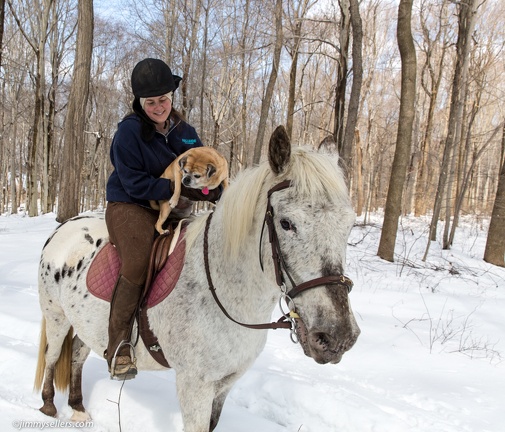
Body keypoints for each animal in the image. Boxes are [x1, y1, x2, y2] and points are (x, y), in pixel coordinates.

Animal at [34, 126, 358, 430]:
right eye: (286, 223)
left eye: (349, 224)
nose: (337, 336)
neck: (224, 290)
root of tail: (63, 228)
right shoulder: (195, 386)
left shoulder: (225, 384)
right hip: (56, 316)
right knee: (53, 356)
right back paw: (48, 405)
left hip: (85, 323)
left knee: (77, 353)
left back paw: (78, 408)